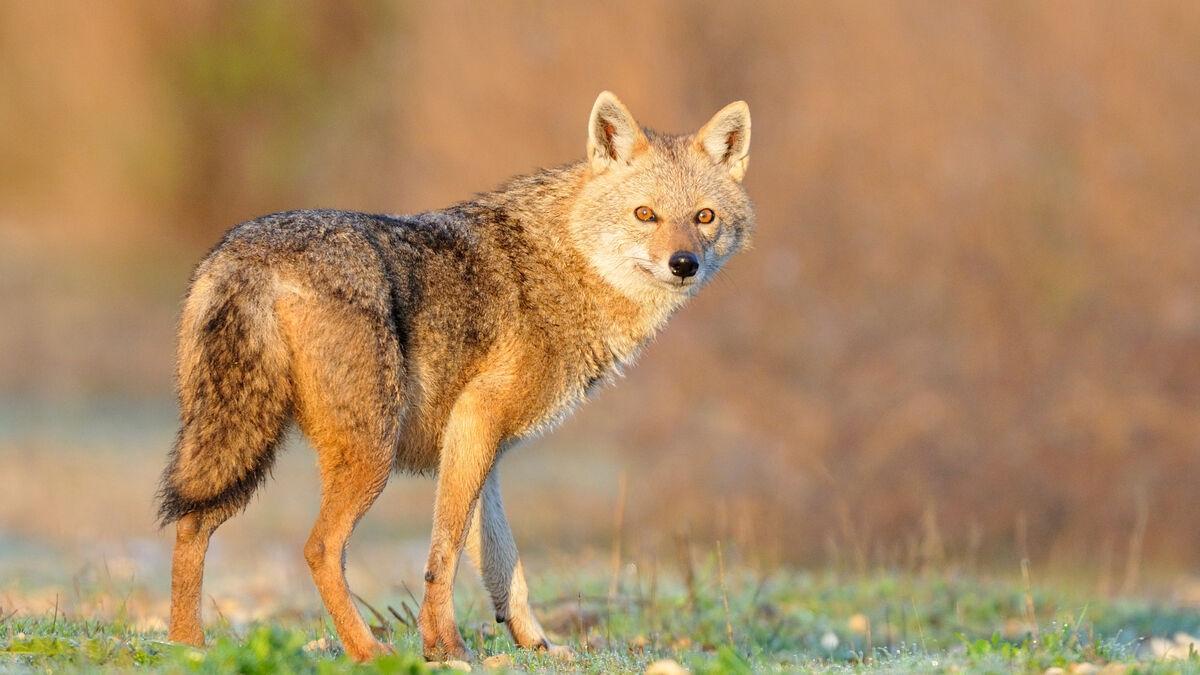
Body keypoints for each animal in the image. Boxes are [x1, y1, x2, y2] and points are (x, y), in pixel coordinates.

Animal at [156, 91, 753, 661]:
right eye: (645, 214)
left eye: (704, 217)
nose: (683, 264)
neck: (567, 266)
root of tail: (248, 253)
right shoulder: (476, 421)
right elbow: (443, 551)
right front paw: (445, 647)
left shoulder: (482, 448)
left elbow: (503, 564)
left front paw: (536, 644)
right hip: (365, 454)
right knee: (318, 548)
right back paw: (366, 651)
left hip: (232, 442)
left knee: (191, 525)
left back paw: (188, 646)